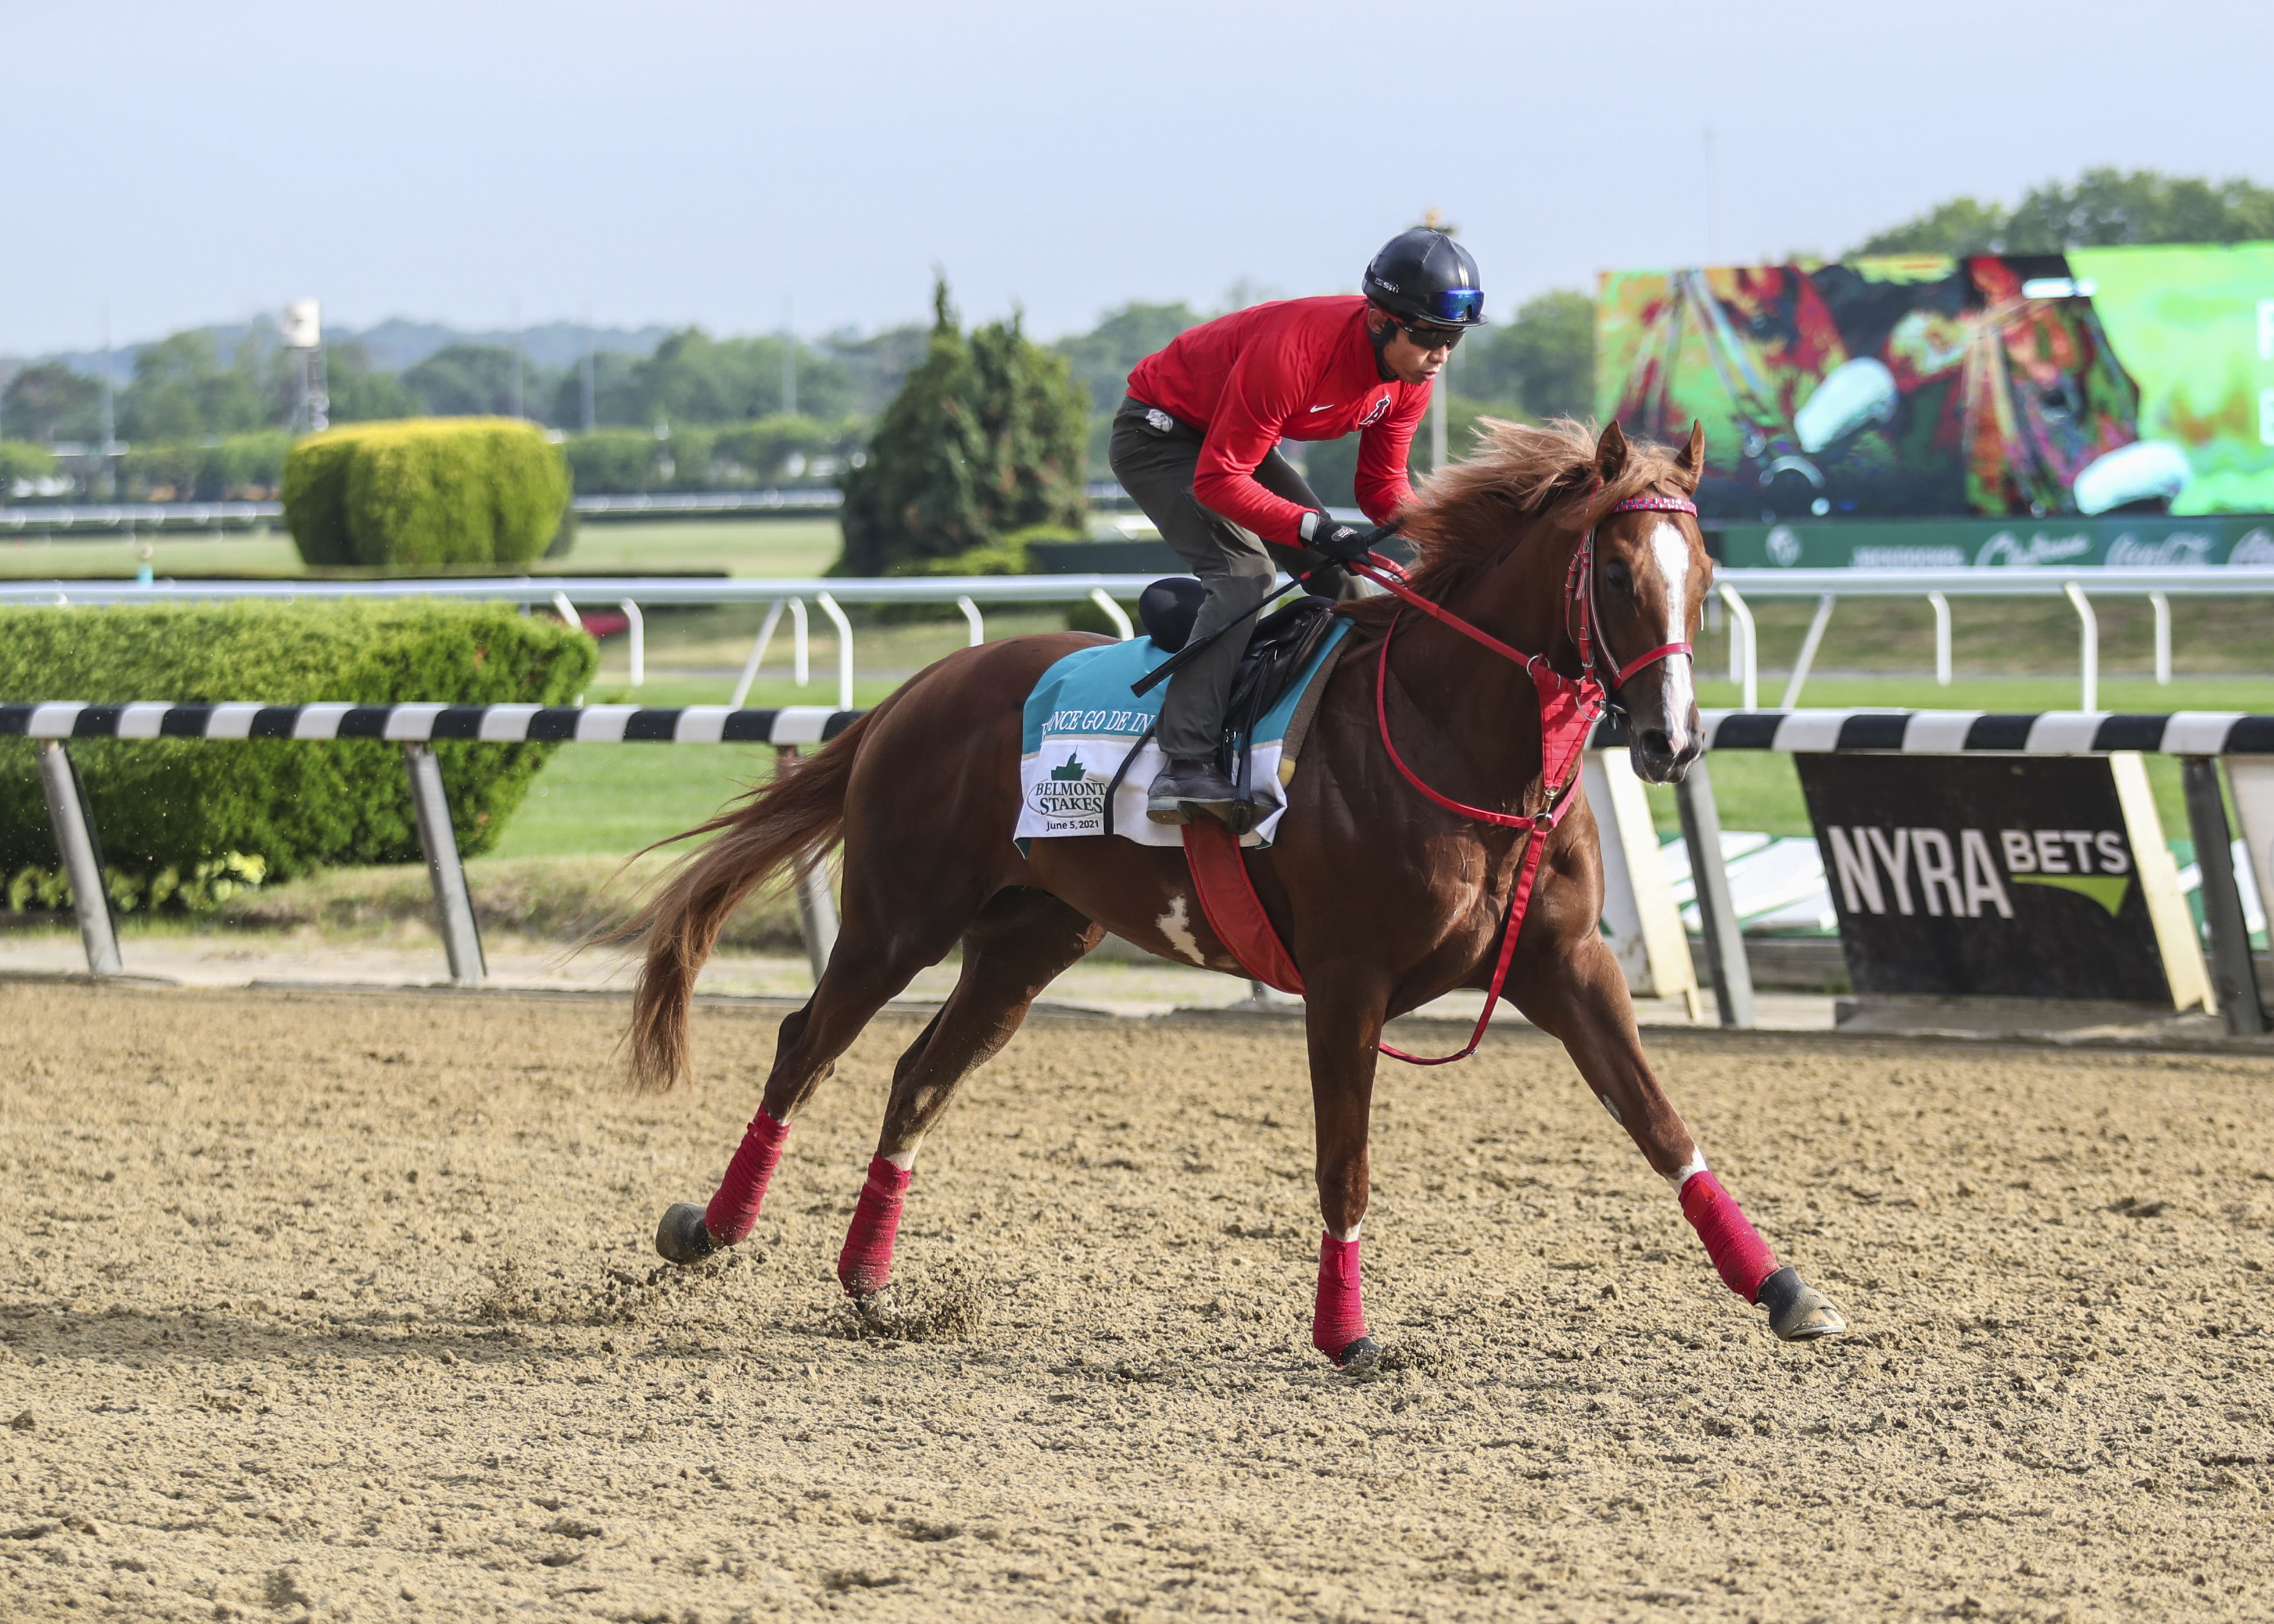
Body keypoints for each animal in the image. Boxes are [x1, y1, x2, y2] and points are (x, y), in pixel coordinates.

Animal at [623, 421, 1846, 1364]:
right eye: (1621, 577)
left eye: (1703, 584)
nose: (1672, 742)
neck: (1453, 736)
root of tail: (916, 688)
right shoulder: (1346, 982)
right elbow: (1344, 1165)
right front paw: (1346, 1335)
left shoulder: (1566, 964)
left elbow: (1660, 1123)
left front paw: (1784, 1290)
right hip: (899, 916)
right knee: (805, 1046)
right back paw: (710, 1230)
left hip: (1028, 940)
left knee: (917, 1076)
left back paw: (869, 1282)